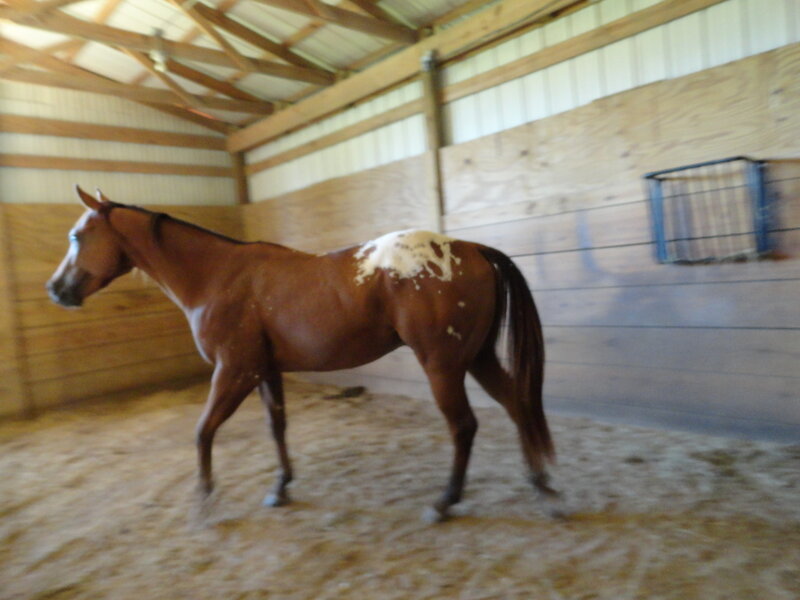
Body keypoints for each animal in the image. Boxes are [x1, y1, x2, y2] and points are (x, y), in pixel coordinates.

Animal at [47, 185, 558, 521]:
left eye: (76, 236)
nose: (55, 290)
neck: (216, 277)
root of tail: (470, 248)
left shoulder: (233, 371)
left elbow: (203, 430)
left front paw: (205, 496)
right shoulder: (265, 372)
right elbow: (277, 428)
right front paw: (280, 488)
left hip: (443, 366)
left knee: (464, 426)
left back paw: (446, 501)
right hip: (476, 358)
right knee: (517, 404)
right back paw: (541, 485)